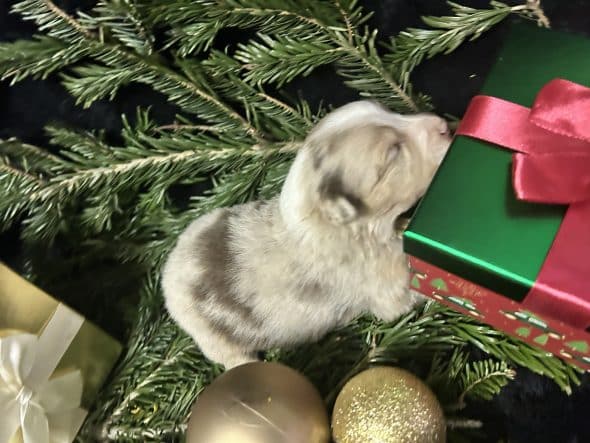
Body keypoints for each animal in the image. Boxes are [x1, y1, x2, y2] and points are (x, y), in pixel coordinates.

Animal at [162, 100, 454, 368]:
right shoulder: (381, 284)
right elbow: (407, 293)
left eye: (391, 111)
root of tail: (167, 274)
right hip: (211, 335)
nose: (443, 125)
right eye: (393, 152)